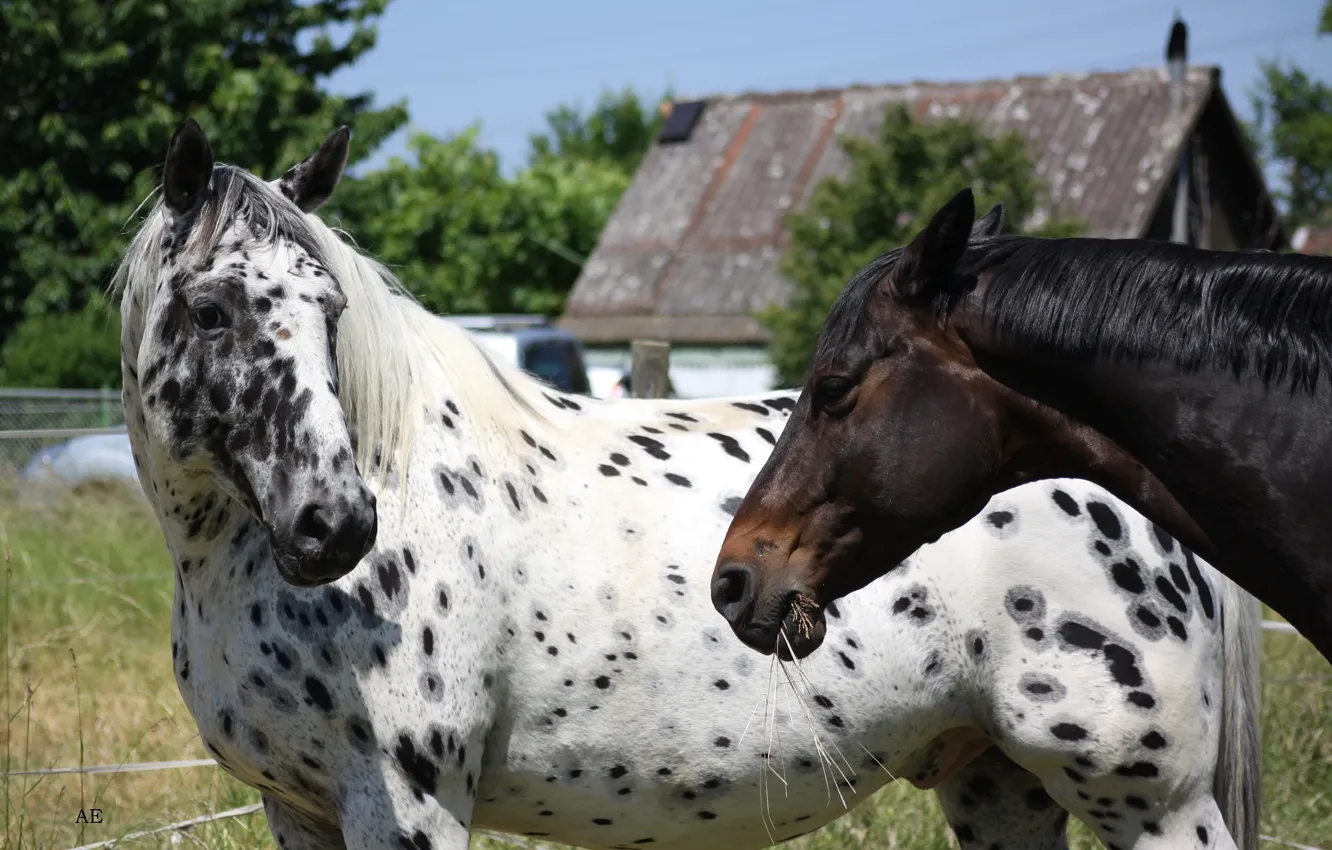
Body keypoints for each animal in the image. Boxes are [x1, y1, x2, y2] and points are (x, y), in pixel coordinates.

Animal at [115, 120, 1262, 850]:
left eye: (330, 308)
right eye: (210, 309)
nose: (337, 524)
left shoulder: (407, 807)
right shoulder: (298, 809)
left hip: (1150, 803)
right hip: (1002, 788)